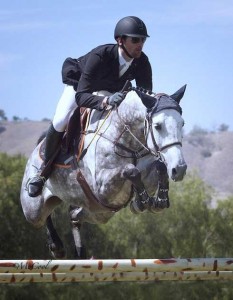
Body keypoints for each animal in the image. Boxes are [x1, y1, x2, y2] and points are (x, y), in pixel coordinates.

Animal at [20, 85, 187, 258]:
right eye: (158, 126)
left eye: (182, 124)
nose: (180, 169)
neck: (128, 141)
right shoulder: (102, 187)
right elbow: (131, 170)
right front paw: (142, 201)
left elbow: (160, 166)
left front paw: (158, 201)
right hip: (33, 209)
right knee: (42, 216)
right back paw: (56, 246)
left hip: (98, 213)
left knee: (74, 215)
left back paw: (80, 253)